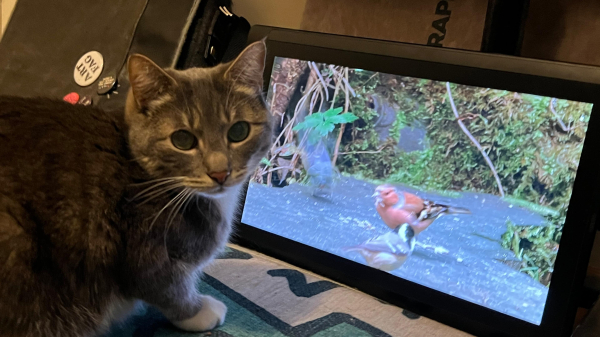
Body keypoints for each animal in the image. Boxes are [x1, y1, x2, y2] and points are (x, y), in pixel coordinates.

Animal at [0, 40, 272, 334]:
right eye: (183, 139)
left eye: (239, 131)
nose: (220, 172)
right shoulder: (144, 245)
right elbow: (167, 288)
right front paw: (200, 311)